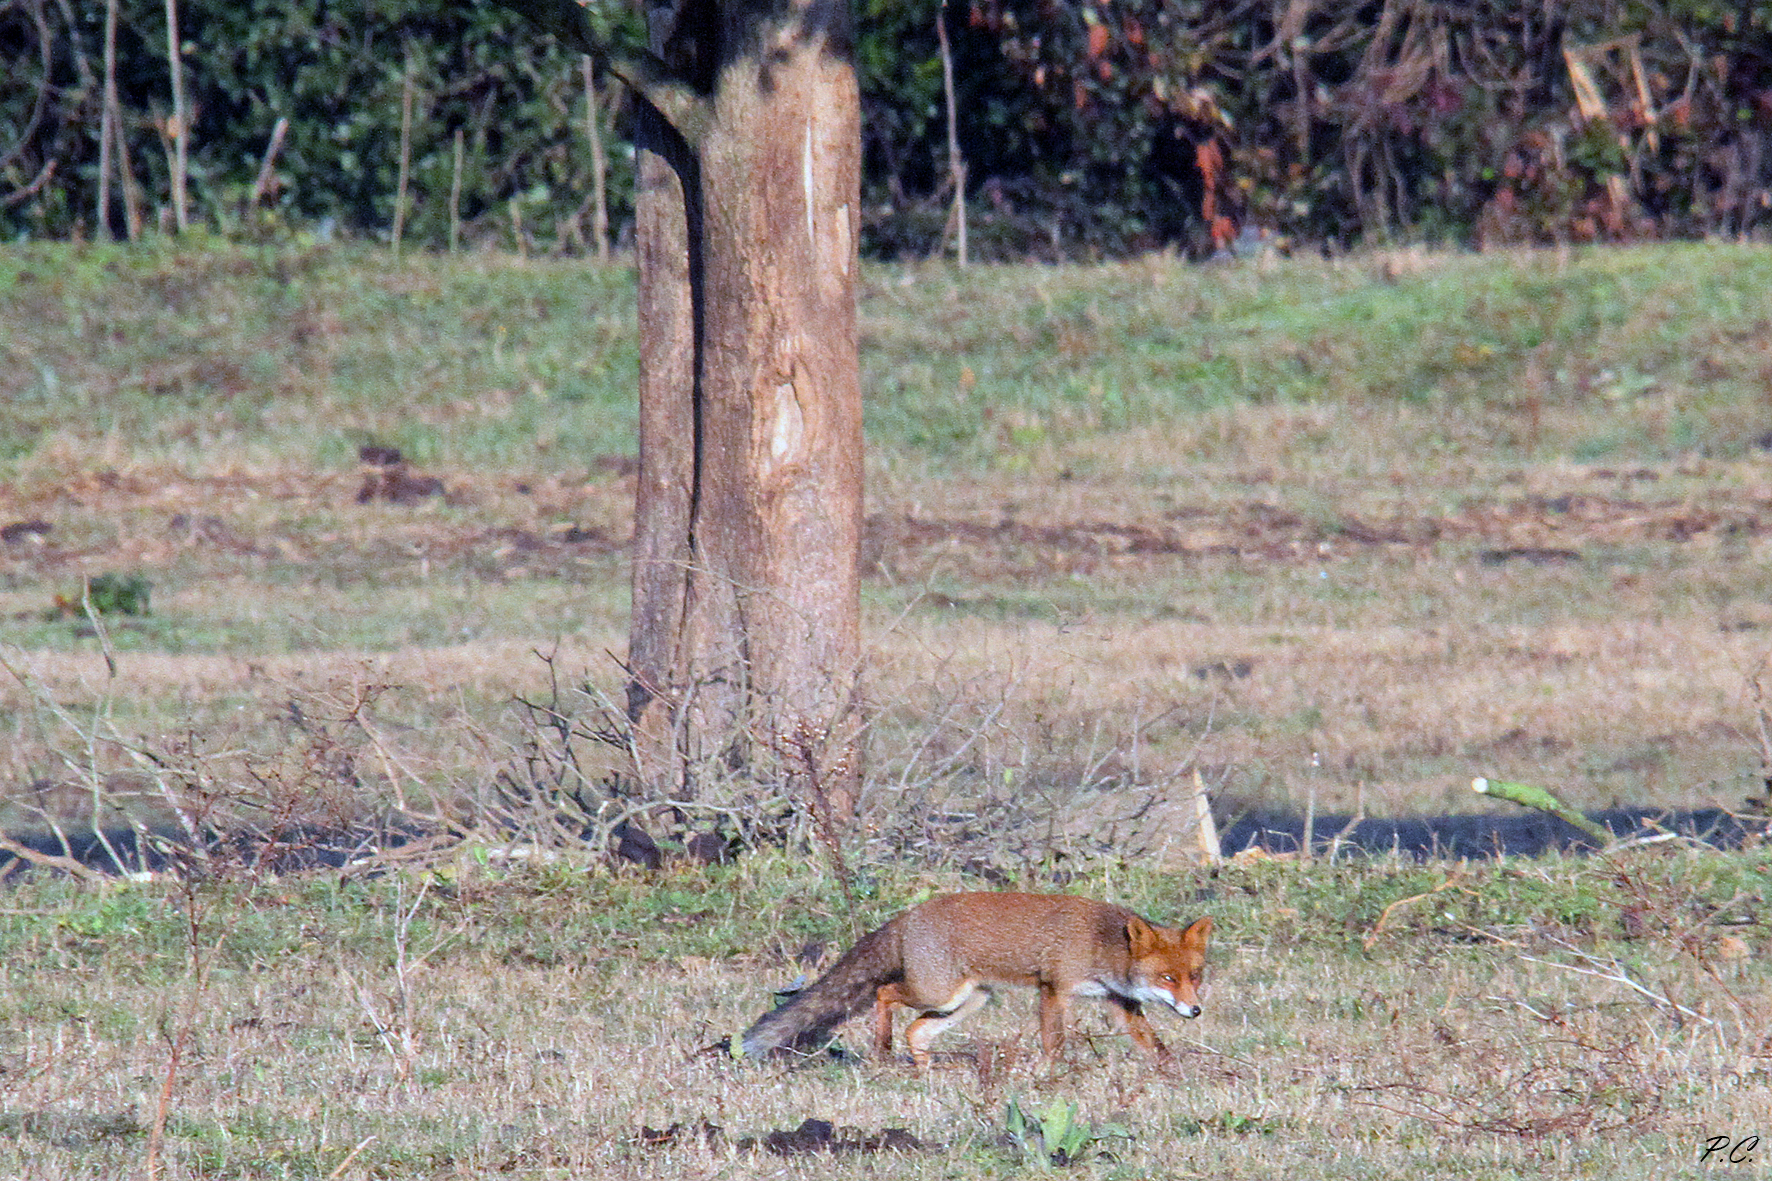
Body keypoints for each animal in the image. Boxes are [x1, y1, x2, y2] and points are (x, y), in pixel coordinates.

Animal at [740, 892, 1212, 1067]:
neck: (1099, 942)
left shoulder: (1119, 1003)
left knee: (917, 1029)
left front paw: (1174, 1075)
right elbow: (1055, 1044)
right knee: (884, 993)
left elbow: (1154, 1046)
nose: (1195, 1010)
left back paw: (923, 1070)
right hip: (934, 992)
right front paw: (1056, 1078)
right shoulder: (1054, 990)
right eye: (1166, 977)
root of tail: (907, 916)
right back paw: (883, 1049)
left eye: (1193, 975)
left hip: (970, 1001)